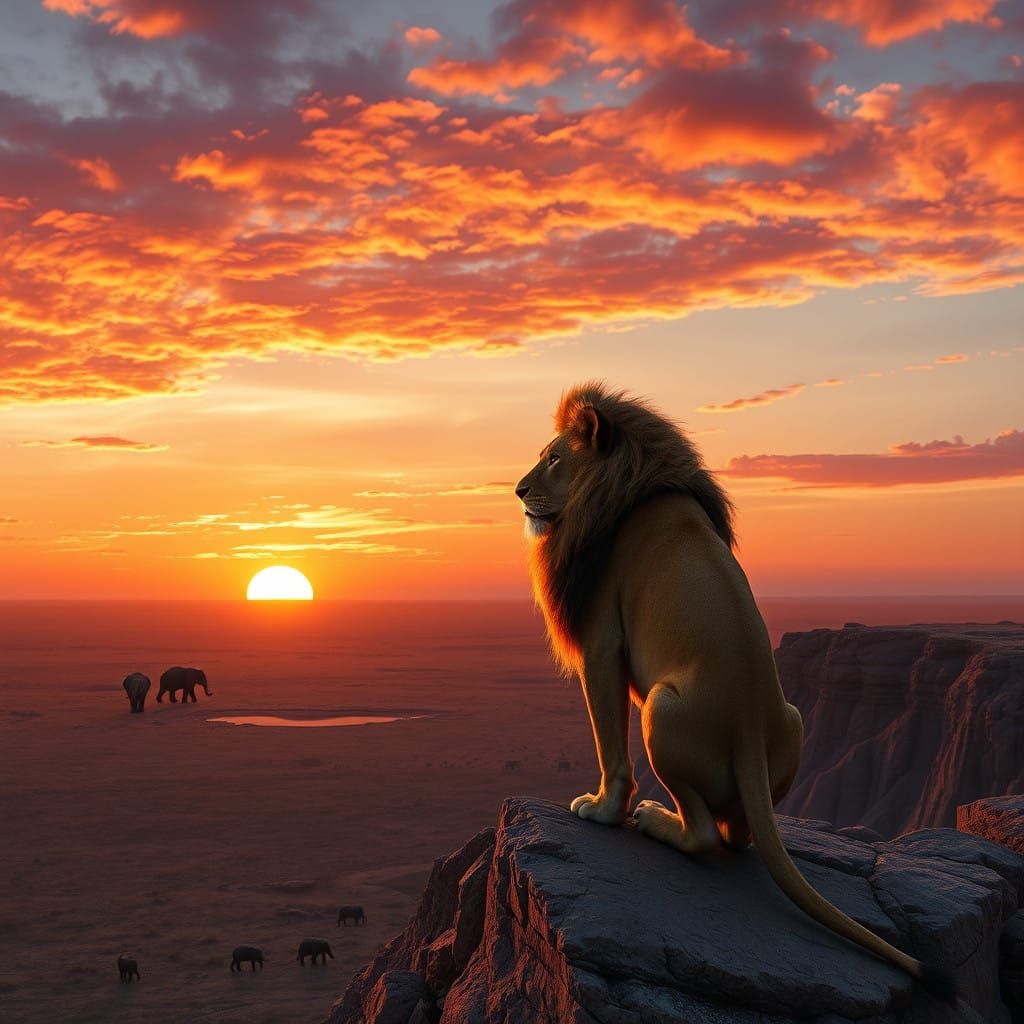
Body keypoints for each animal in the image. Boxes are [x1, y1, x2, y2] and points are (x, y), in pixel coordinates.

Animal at [515, 381, 953, 1000]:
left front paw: (600, 809)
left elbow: (609, 746)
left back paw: (653, 819)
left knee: (705, 837)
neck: (626, 486)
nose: (518, 490)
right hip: (795, 717)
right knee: (740, 834)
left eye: (555, 458)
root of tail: (747, 731)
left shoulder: (601, 640)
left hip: (659, 709)